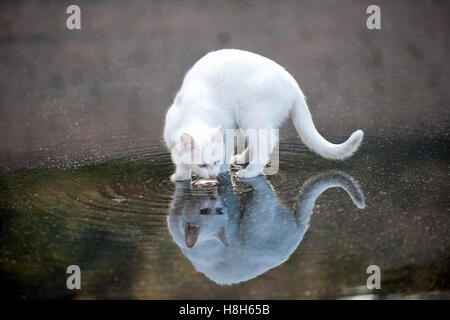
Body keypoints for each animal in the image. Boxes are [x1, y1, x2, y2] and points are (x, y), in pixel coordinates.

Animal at [163, 48, 364, 181]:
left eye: (215, 161)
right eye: (201, 165)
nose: (212, 175)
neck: (194, 114)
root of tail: (294, 86)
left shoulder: (229, 129)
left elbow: (226, 151)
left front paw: (222, 170)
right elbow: (180, 160)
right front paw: (181, 176)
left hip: (250, 115)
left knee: (266, 142)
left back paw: (249, 171)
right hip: (247, 119)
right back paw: (242, 159)